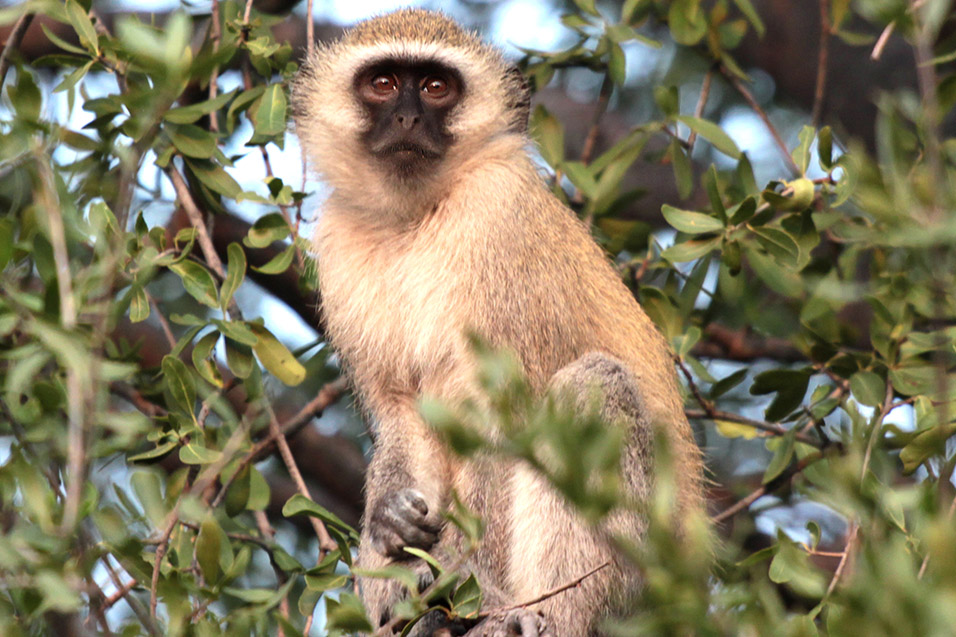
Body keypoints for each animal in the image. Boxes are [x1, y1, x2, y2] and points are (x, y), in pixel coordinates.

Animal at [296, 9, 704, 636]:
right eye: (383, 83)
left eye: (436, 87)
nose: (408, 117)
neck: (417, 215)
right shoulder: (339, 240)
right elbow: (401, 409)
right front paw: (391, 519)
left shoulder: (497, 212)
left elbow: (506, 416)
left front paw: (469, 577)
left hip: (639, 576)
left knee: (592, 388)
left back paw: (532, 614)